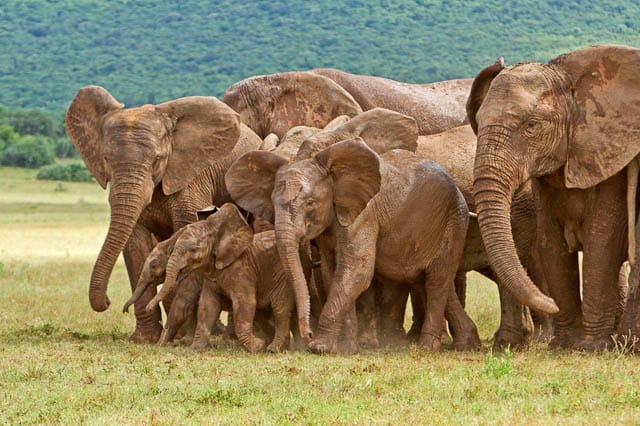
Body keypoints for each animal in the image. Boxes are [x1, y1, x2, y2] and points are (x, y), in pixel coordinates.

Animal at [228, 111, 478, 354]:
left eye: (310, 203)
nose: (307, 334)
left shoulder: (365, 215)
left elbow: (356, 270)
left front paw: (319, 347)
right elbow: (333, 273)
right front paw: (346, 350)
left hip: (454, 221)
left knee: (437, 280)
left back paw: (428, 348)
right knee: (428, 279)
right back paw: (466, 343)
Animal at [464, 43, 640, 352]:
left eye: (532, 126)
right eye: (480, 122)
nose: (549, 304)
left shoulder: (609, 155)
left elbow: (601, 242)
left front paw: (590, 347)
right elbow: (550, 243)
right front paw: (563, 344)